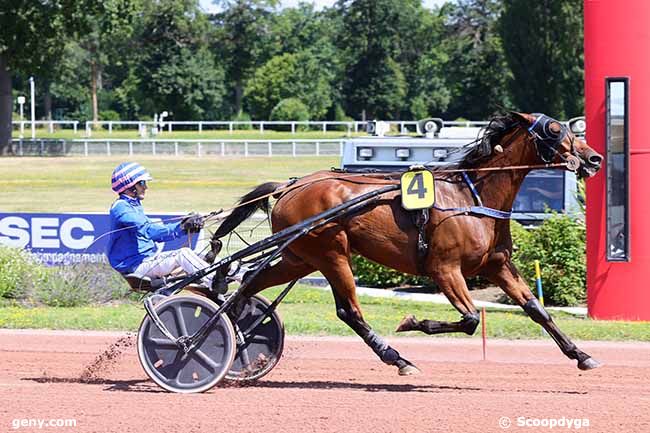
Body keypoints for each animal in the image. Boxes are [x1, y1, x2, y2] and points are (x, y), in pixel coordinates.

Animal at [206, 112, 604, 374]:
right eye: (554, 130)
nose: (594, 158)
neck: (471, 196)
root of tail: (289, 186)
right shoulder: (445, 269)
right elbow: (470, 319)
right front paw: (413, 321)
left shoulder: (496, 265)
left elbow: (536, 309)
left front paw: (582, 356)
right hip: (331, 253)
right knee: (349, 311)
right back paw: (397, 358)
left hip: (300, 257)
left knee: (250, 282)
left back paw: (233, 332)